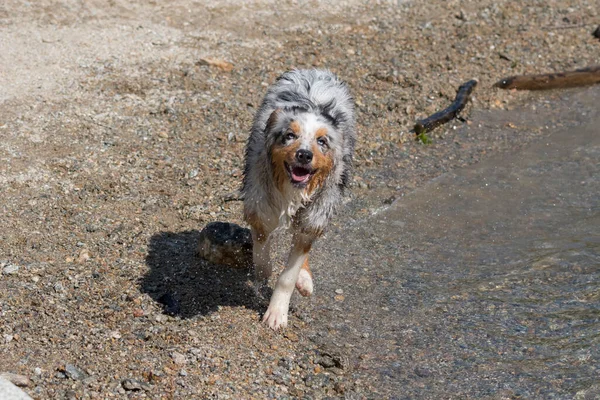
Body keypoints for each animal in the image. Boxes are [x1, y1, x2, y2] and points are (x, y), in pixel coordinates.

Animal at [243, 70, 356, 330]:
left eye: (322, 141)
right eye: (290, 136)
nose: (304, 155)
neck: (292, 190)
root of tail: (317, 70)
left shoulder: (314, 215)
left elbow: (288, 275)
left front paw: (276, 313)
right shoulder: (260, 206)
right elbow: (262, 256)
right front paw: (263, 274)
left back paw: (304, 280)